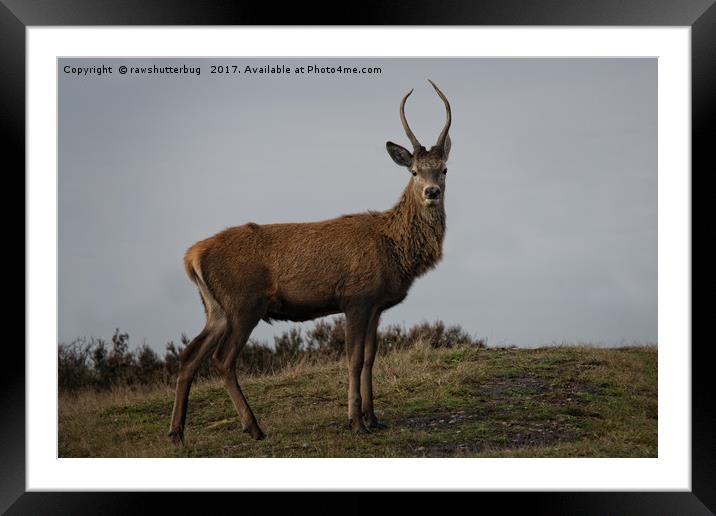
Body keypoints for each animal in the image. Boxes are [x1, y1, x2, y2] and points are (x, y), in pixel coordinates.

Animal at [166, 80, 454, 444]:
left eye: (444, 169)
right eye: (415, 171)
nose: (432, 192)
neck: (394, 249)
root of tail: (191, 256)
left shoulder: (376, 305)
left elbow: (371, 359)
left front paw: (374, 418)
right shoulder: (356, 298)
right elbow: (353, 360)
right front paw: (355, 421)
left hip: (216, 308)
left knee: (190, 355)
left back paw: (177, 432)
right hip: (243, 303)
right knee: (222, 359)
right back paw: (254, 427)